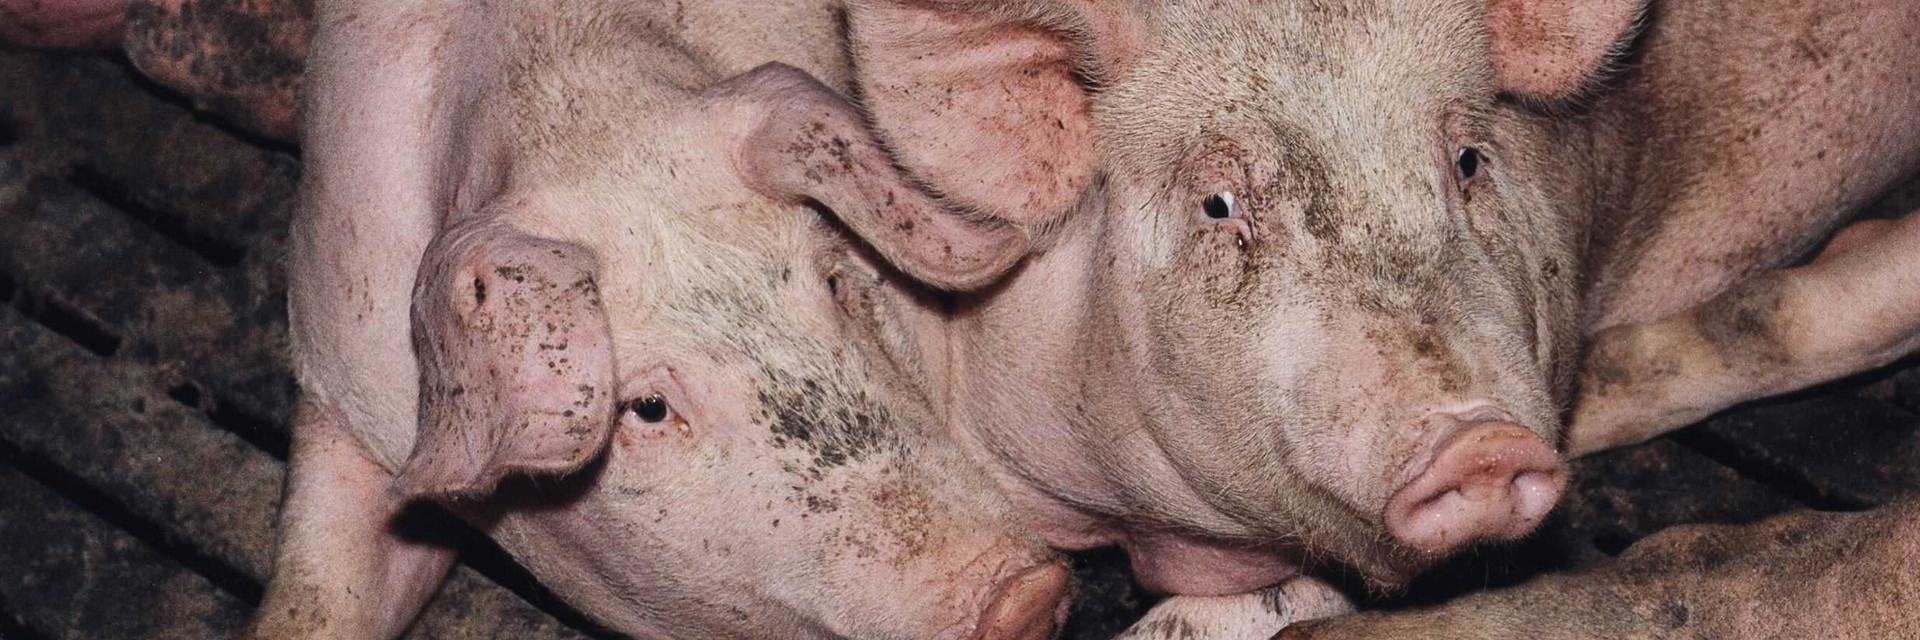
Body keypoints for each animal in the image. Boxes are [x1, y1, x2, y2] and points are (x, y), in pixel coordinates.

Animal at [10, 0, 1077, 638]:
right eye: (646, 407)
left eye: (840, 284)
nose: (1022, 596)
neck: (568, 88)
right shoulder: (338, 381)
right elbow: (317, 595)